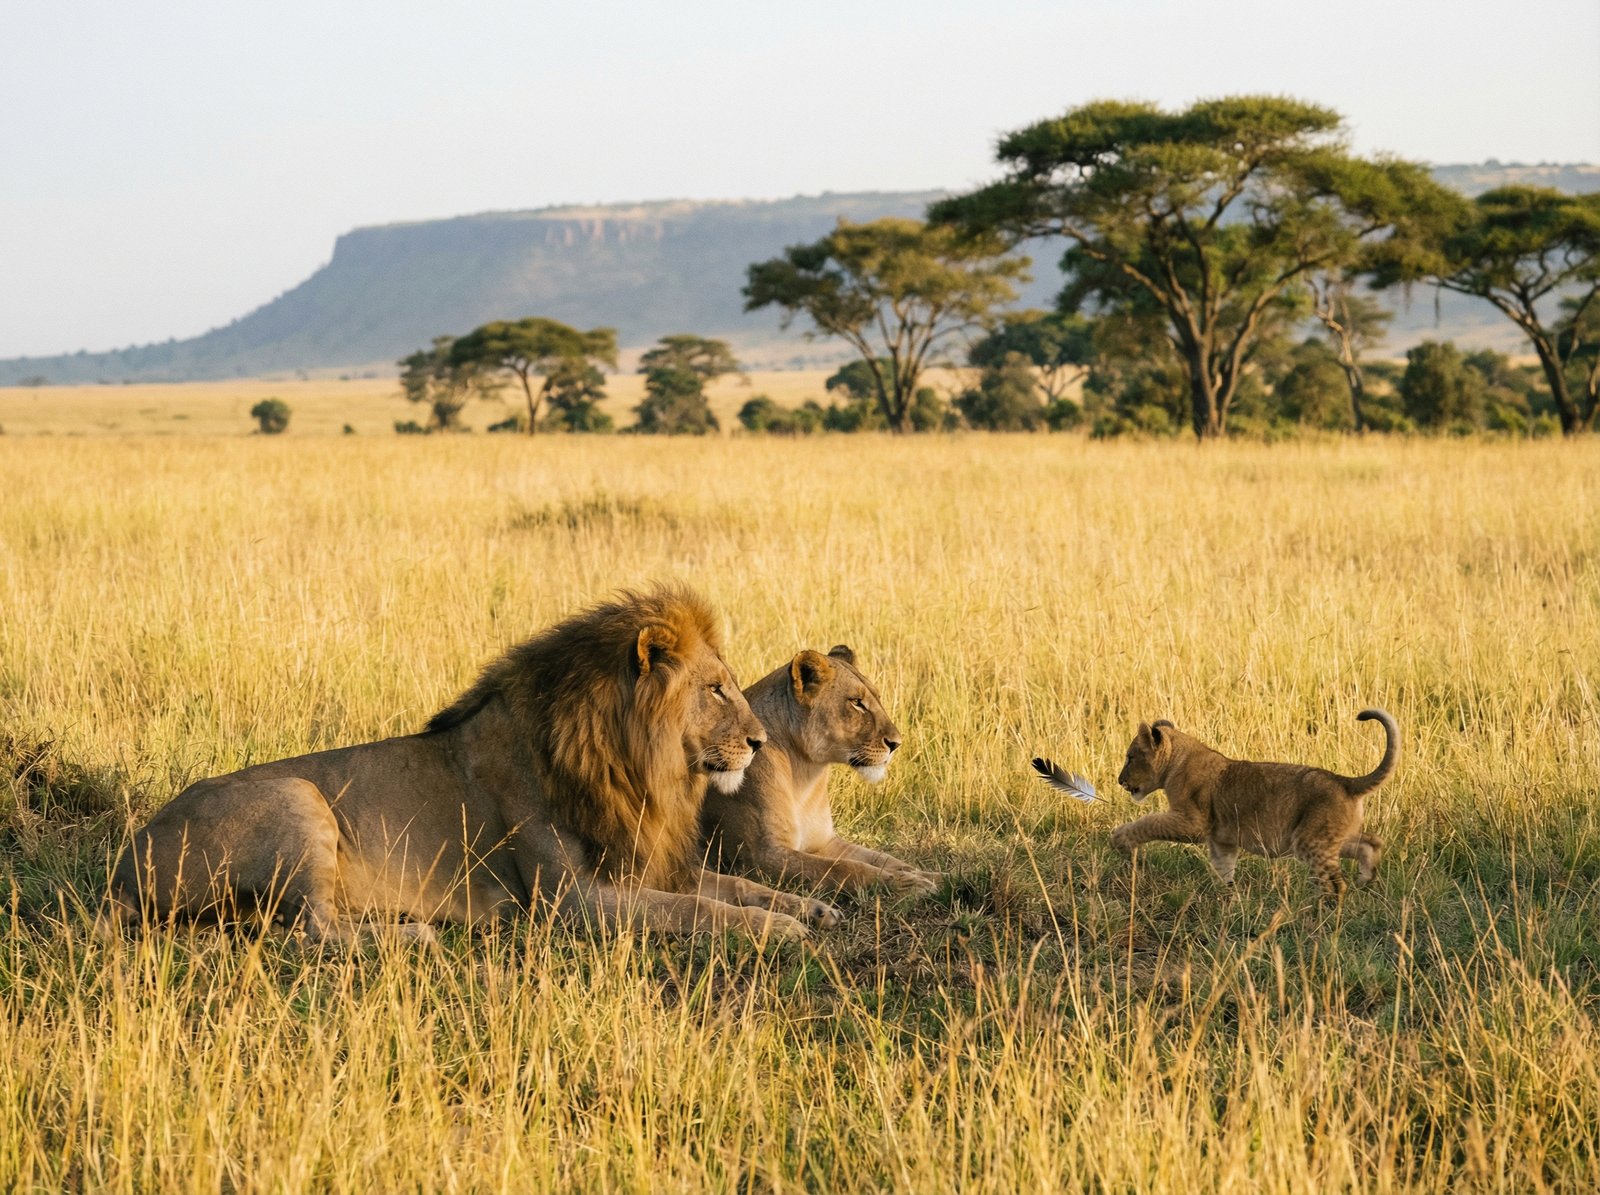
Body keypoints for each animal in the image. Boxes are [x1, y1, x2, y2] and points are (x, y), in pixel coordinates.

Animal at [101, 587, 841, 942]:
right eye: (714, 689)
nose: (761, 742)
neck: (632, 769)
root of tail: (128, 857)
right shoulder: (572, 902)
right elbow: (700, 911)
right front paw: (779, 931)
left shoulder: (650, 863)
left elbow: (735, 885)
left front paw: (809, 906)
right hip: (297, 798)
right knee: (314, 929)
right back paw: (413, 934)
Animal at [701, 645, 941, 898]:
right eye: (856, 702)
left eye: (877, 698)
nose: (896, 744)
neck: (805, 774)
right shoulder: (759, 857)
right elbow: (843, 868)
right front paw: (908, 884)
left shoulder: (825, 842)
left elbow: (883, 858)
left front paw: (934, 876)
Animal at [1100, 709, 1398, 897]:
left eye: (1130, 757)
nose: (1119, 780)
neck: (1177, 761)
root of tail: (1345, 781)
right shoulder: (1222, 839)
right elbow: (1223, 867)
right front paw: (1226, 898)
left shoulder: (1192, 823)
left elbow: (1149, 823)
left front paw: (1120, 839)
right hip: (1325, 837)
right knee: (1371, 842)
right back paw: (1366, 878)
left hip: (1310, 841)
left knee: (1336, 885)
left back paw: (1324, 916)